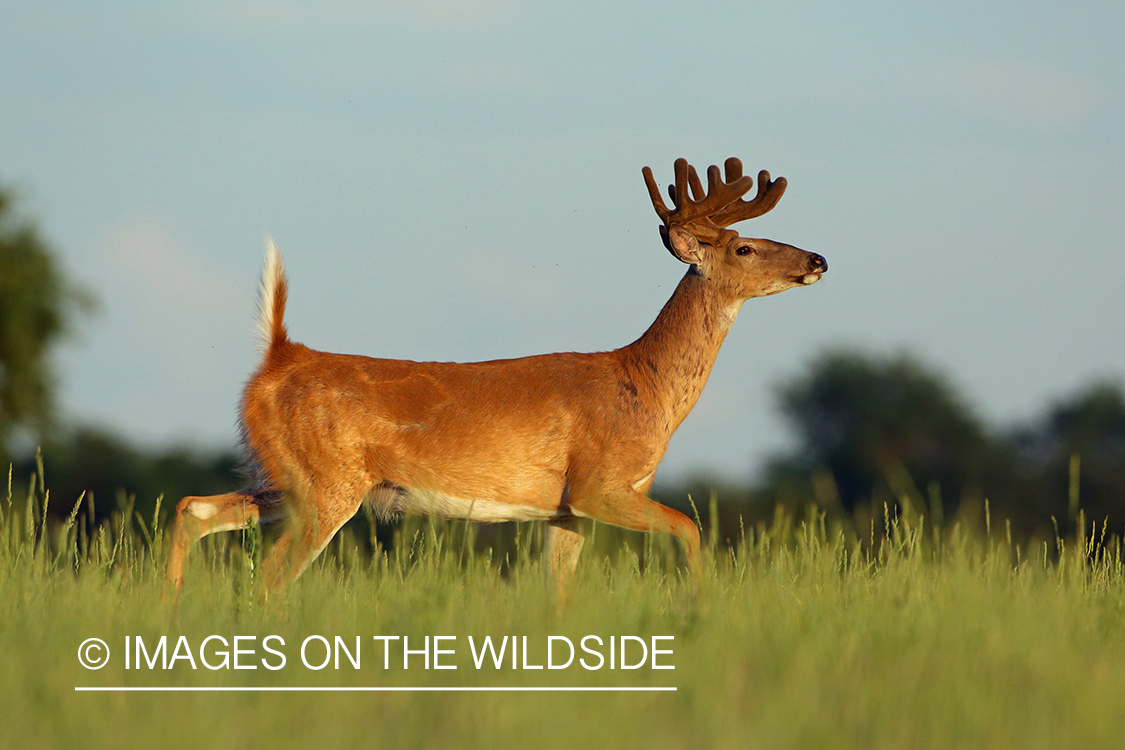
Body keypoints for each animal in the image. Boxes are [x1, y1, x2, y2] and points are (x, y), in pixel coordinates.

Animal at [163, 155, 828, 602]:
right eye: (744, 248)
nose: (818, 259)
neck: (644, 385)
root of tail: (279, 355)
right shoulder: (599, 484)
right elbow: (691, 529)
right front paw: (698, 610)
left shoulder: (565, 510)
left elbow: (559, 599)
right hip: (326, 485)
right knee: (269, 579)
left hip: (287, 475)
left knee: (194, 509)